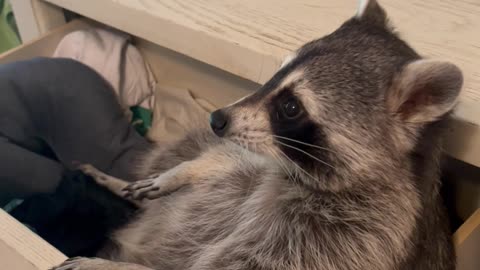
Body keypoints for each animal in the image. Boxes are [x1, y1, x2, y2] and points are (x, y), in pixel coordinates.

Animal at [52, 0, 462, 270]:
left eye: (291, 107)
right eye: (275, 74)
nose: (216, 118)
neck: (293, 167)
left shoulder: (355, 236)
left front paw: (112, 266)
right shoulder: (257, 154)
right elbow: (228, 158)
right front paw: (180, 173)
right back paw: (122, 182)